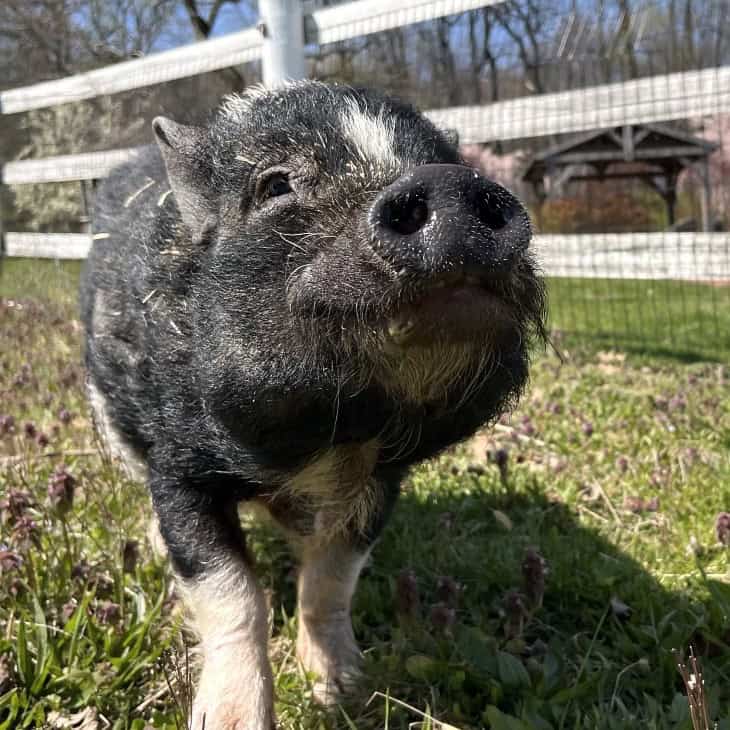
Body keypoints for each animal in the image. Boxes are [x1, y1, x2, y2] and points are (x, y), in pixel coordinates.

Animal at [80, 80, 546, 729]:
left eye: (446, 163)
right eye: (276, 184)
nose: (445, 183)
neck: (329, 435)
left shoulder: (380, 481)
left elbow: (331, 578)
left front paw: (344, 691)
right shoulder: (177, 467)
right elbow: (229, 588)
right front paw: (231, 722)